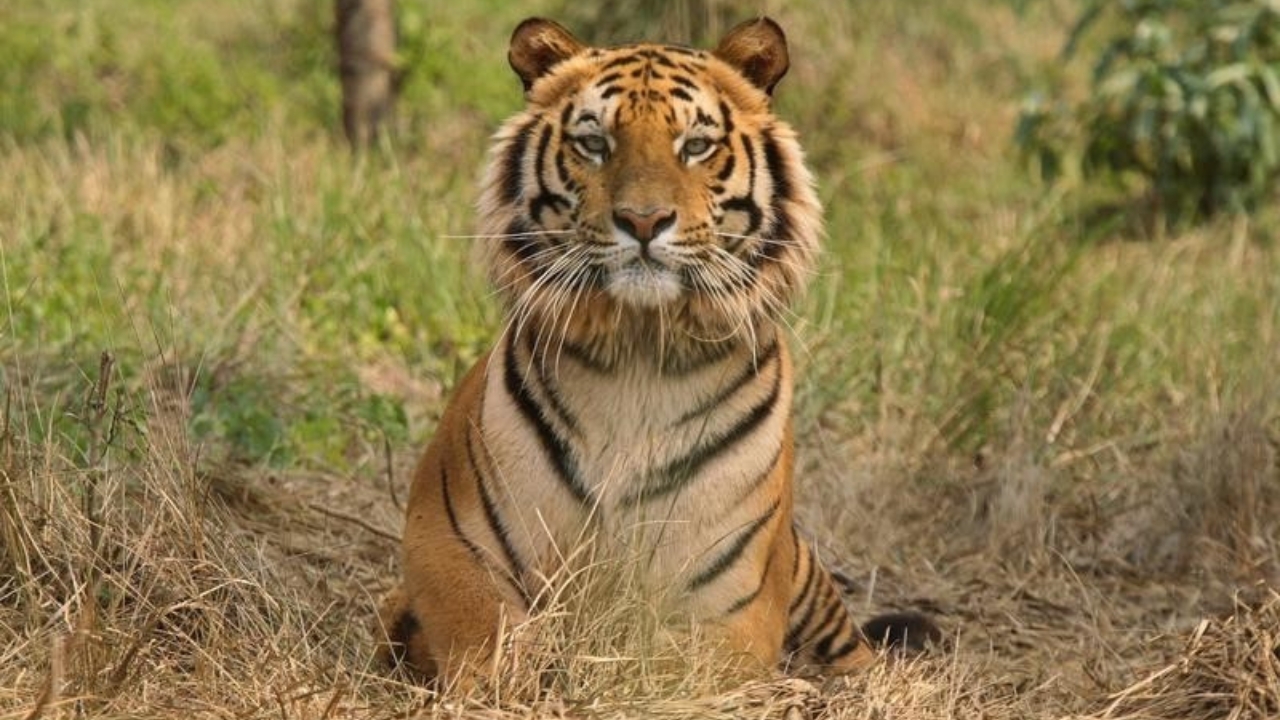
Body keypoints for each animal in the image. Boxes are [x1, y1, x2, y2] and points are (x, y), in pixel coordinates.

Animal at [377, 16, 932, 689]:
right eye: (594, 143)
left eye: (695, 145)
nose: (643, 221)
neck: (637, 356)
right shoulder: (446, 541)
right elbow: (484, 634)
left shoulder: (729, 597)